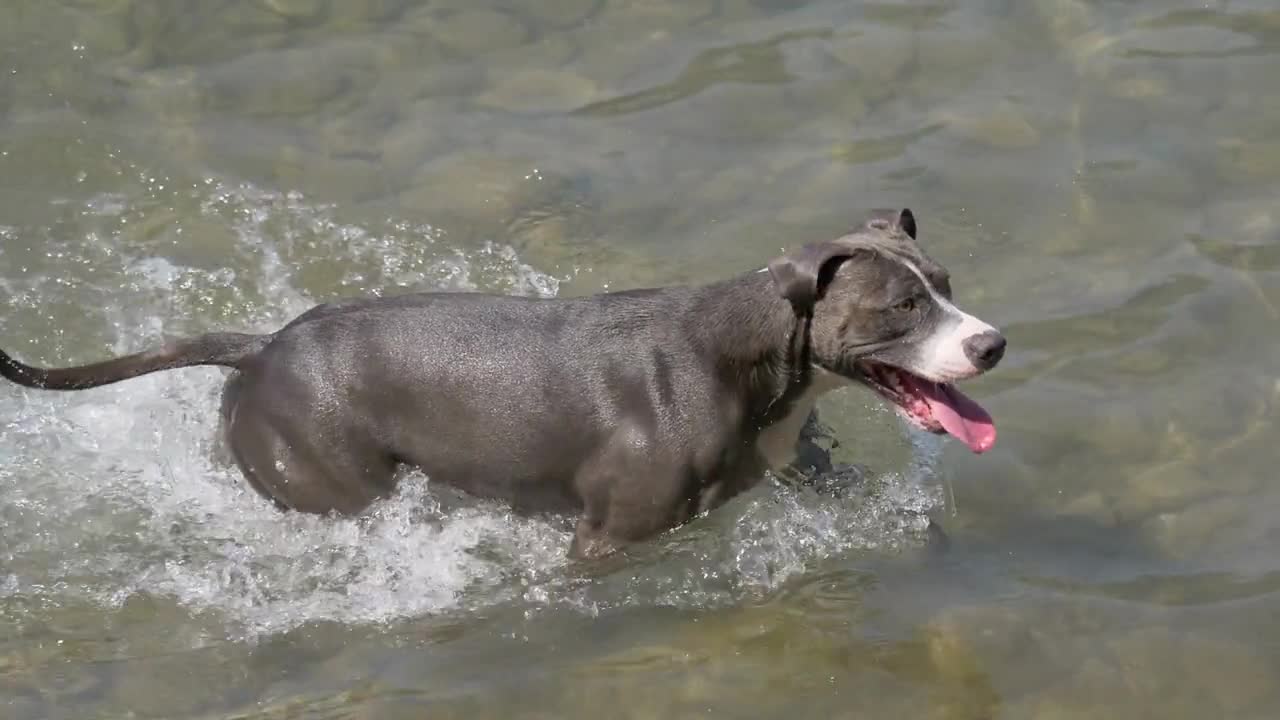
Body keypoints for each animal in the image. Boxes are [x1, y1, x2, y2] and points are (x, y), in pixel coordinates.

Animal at [0, 207, 1003, 556]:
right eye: (900, 308)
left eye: (946, 284)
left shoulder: (801, 466)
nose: (992, 344)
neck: (754, 357)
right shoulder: (605, 543)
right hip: (331, 483)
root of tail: (262, 347)